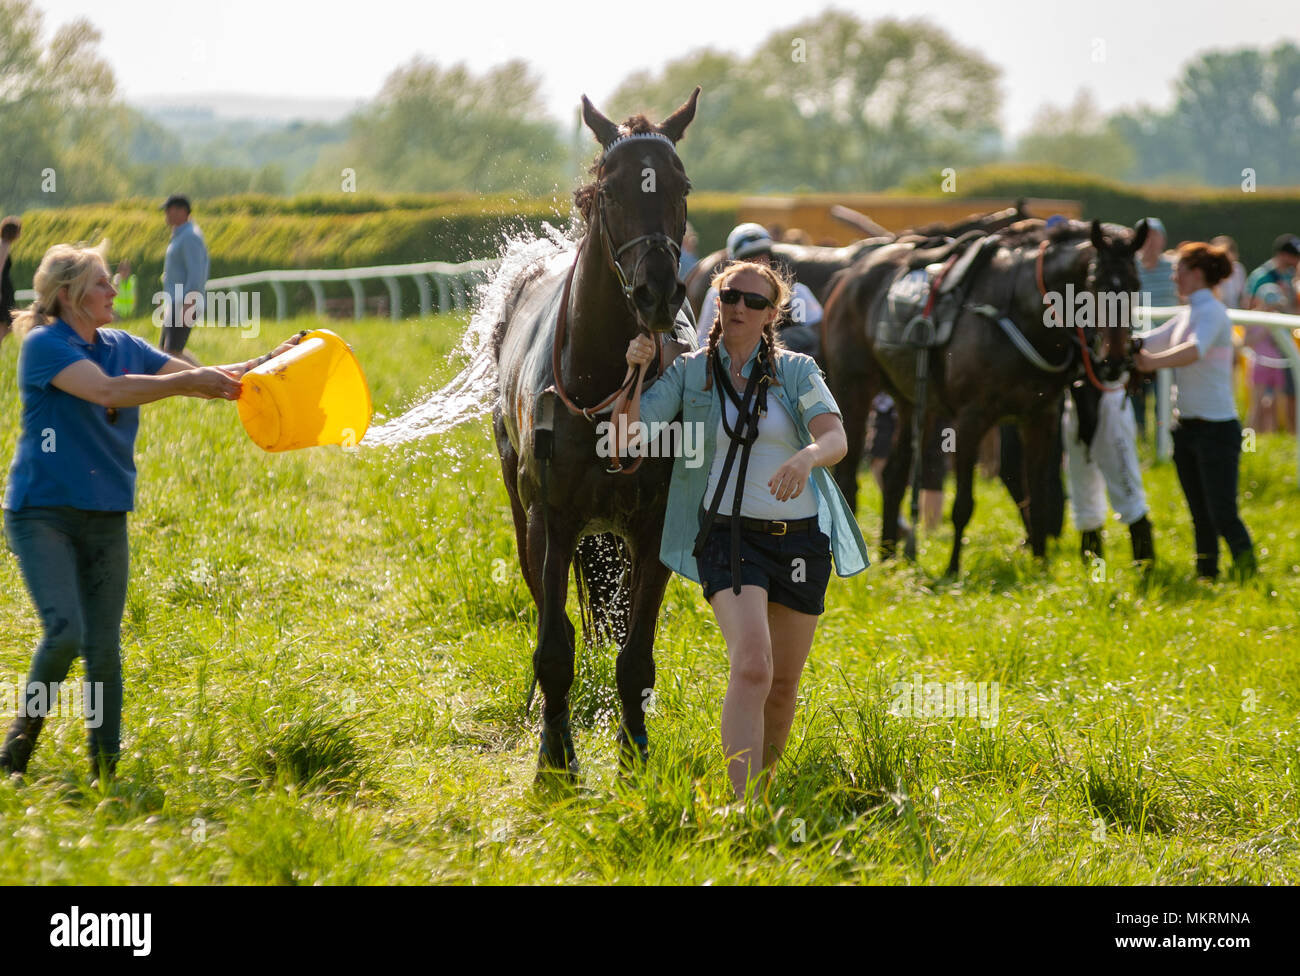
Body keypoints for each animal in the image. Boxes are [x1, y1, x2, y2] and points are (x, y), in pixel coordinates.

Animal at [488, 89, 702, 779]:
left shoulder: (653, 524)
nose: (658, 291)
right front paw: (556, 755)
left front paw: (633, 746)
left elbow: (635, 649)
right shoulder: (551, 518)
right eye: (611, 189)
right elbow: (555, 644)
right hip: (522, 509)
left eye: (681, 186)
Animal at [821, 217, 1149, 577]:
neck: (1018, 309)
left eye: (1134, 285)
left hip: (913, 401)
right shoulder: (971, 418)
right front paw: (953, 569)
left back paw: (891, 556)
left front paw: (1040, 565)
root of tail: (848, 275)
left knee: (895, 475)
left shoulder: (1041, 416)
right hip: (854, 387)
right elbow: (963, 503)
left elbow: (1037, 495)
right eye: (1095, 284)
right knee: (848, 475)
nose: (1115, 360)